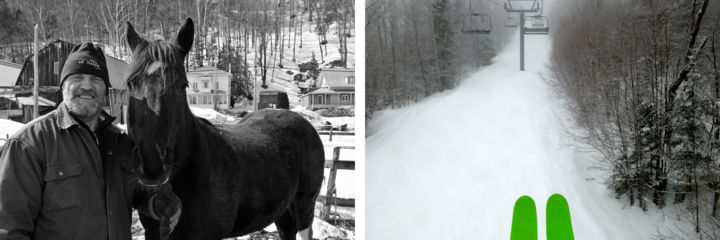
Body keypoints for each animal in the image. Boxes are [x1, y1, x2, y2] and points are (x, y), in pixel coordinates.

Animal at [126, 17, 324, 239]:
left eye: (182, 85)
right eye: (130, 84)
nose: (152, 165)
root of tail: (304, 124)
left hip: (304, 203)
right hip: (282, 209)